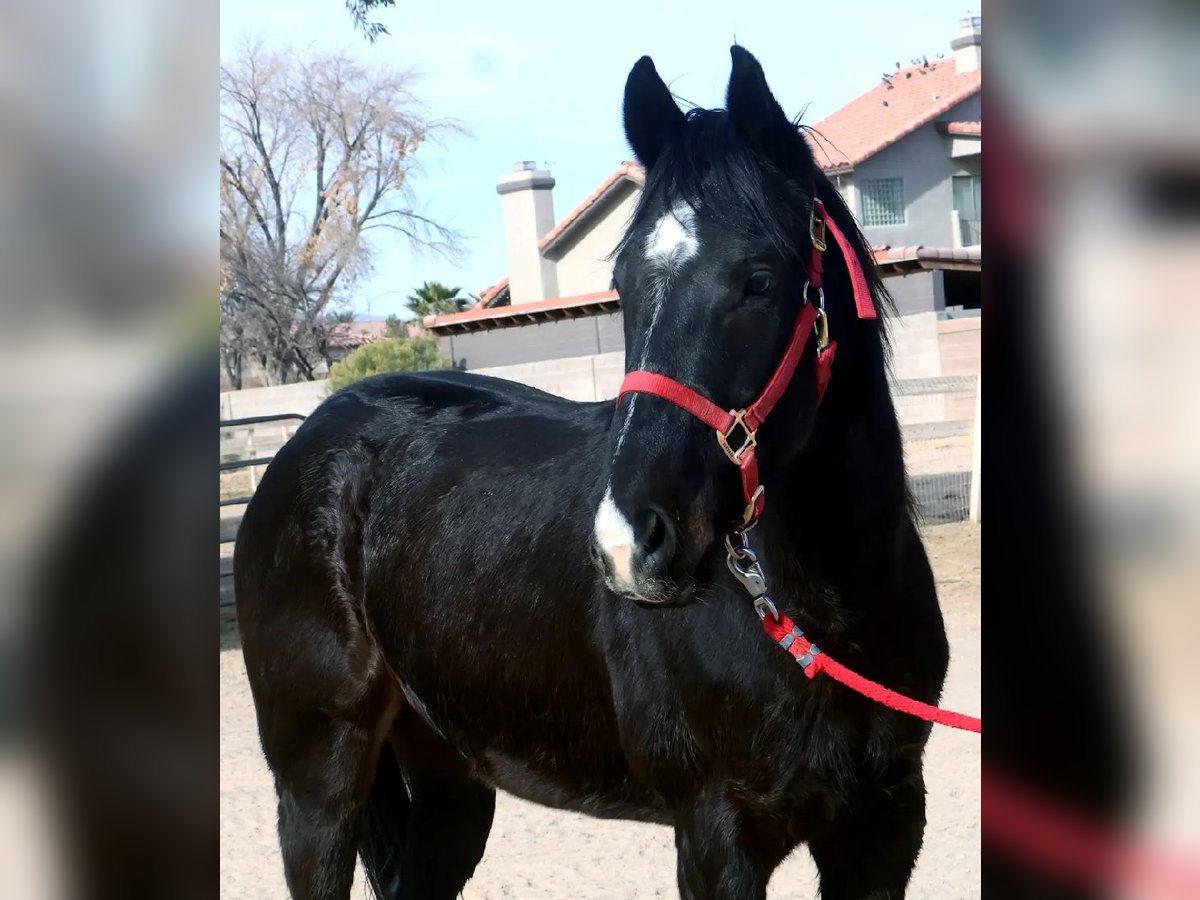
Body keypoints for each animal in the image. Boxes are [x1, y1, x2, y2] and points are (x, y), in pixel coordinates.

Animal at [234, 49, 945, 900]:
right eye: (623, 284)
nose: (628, 543)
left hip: (447, 773)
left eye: (759, 279)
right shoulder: (717, 835)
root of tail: (316, 438)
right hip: (317, 780)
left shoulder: (884, 827)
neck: (828, 614)